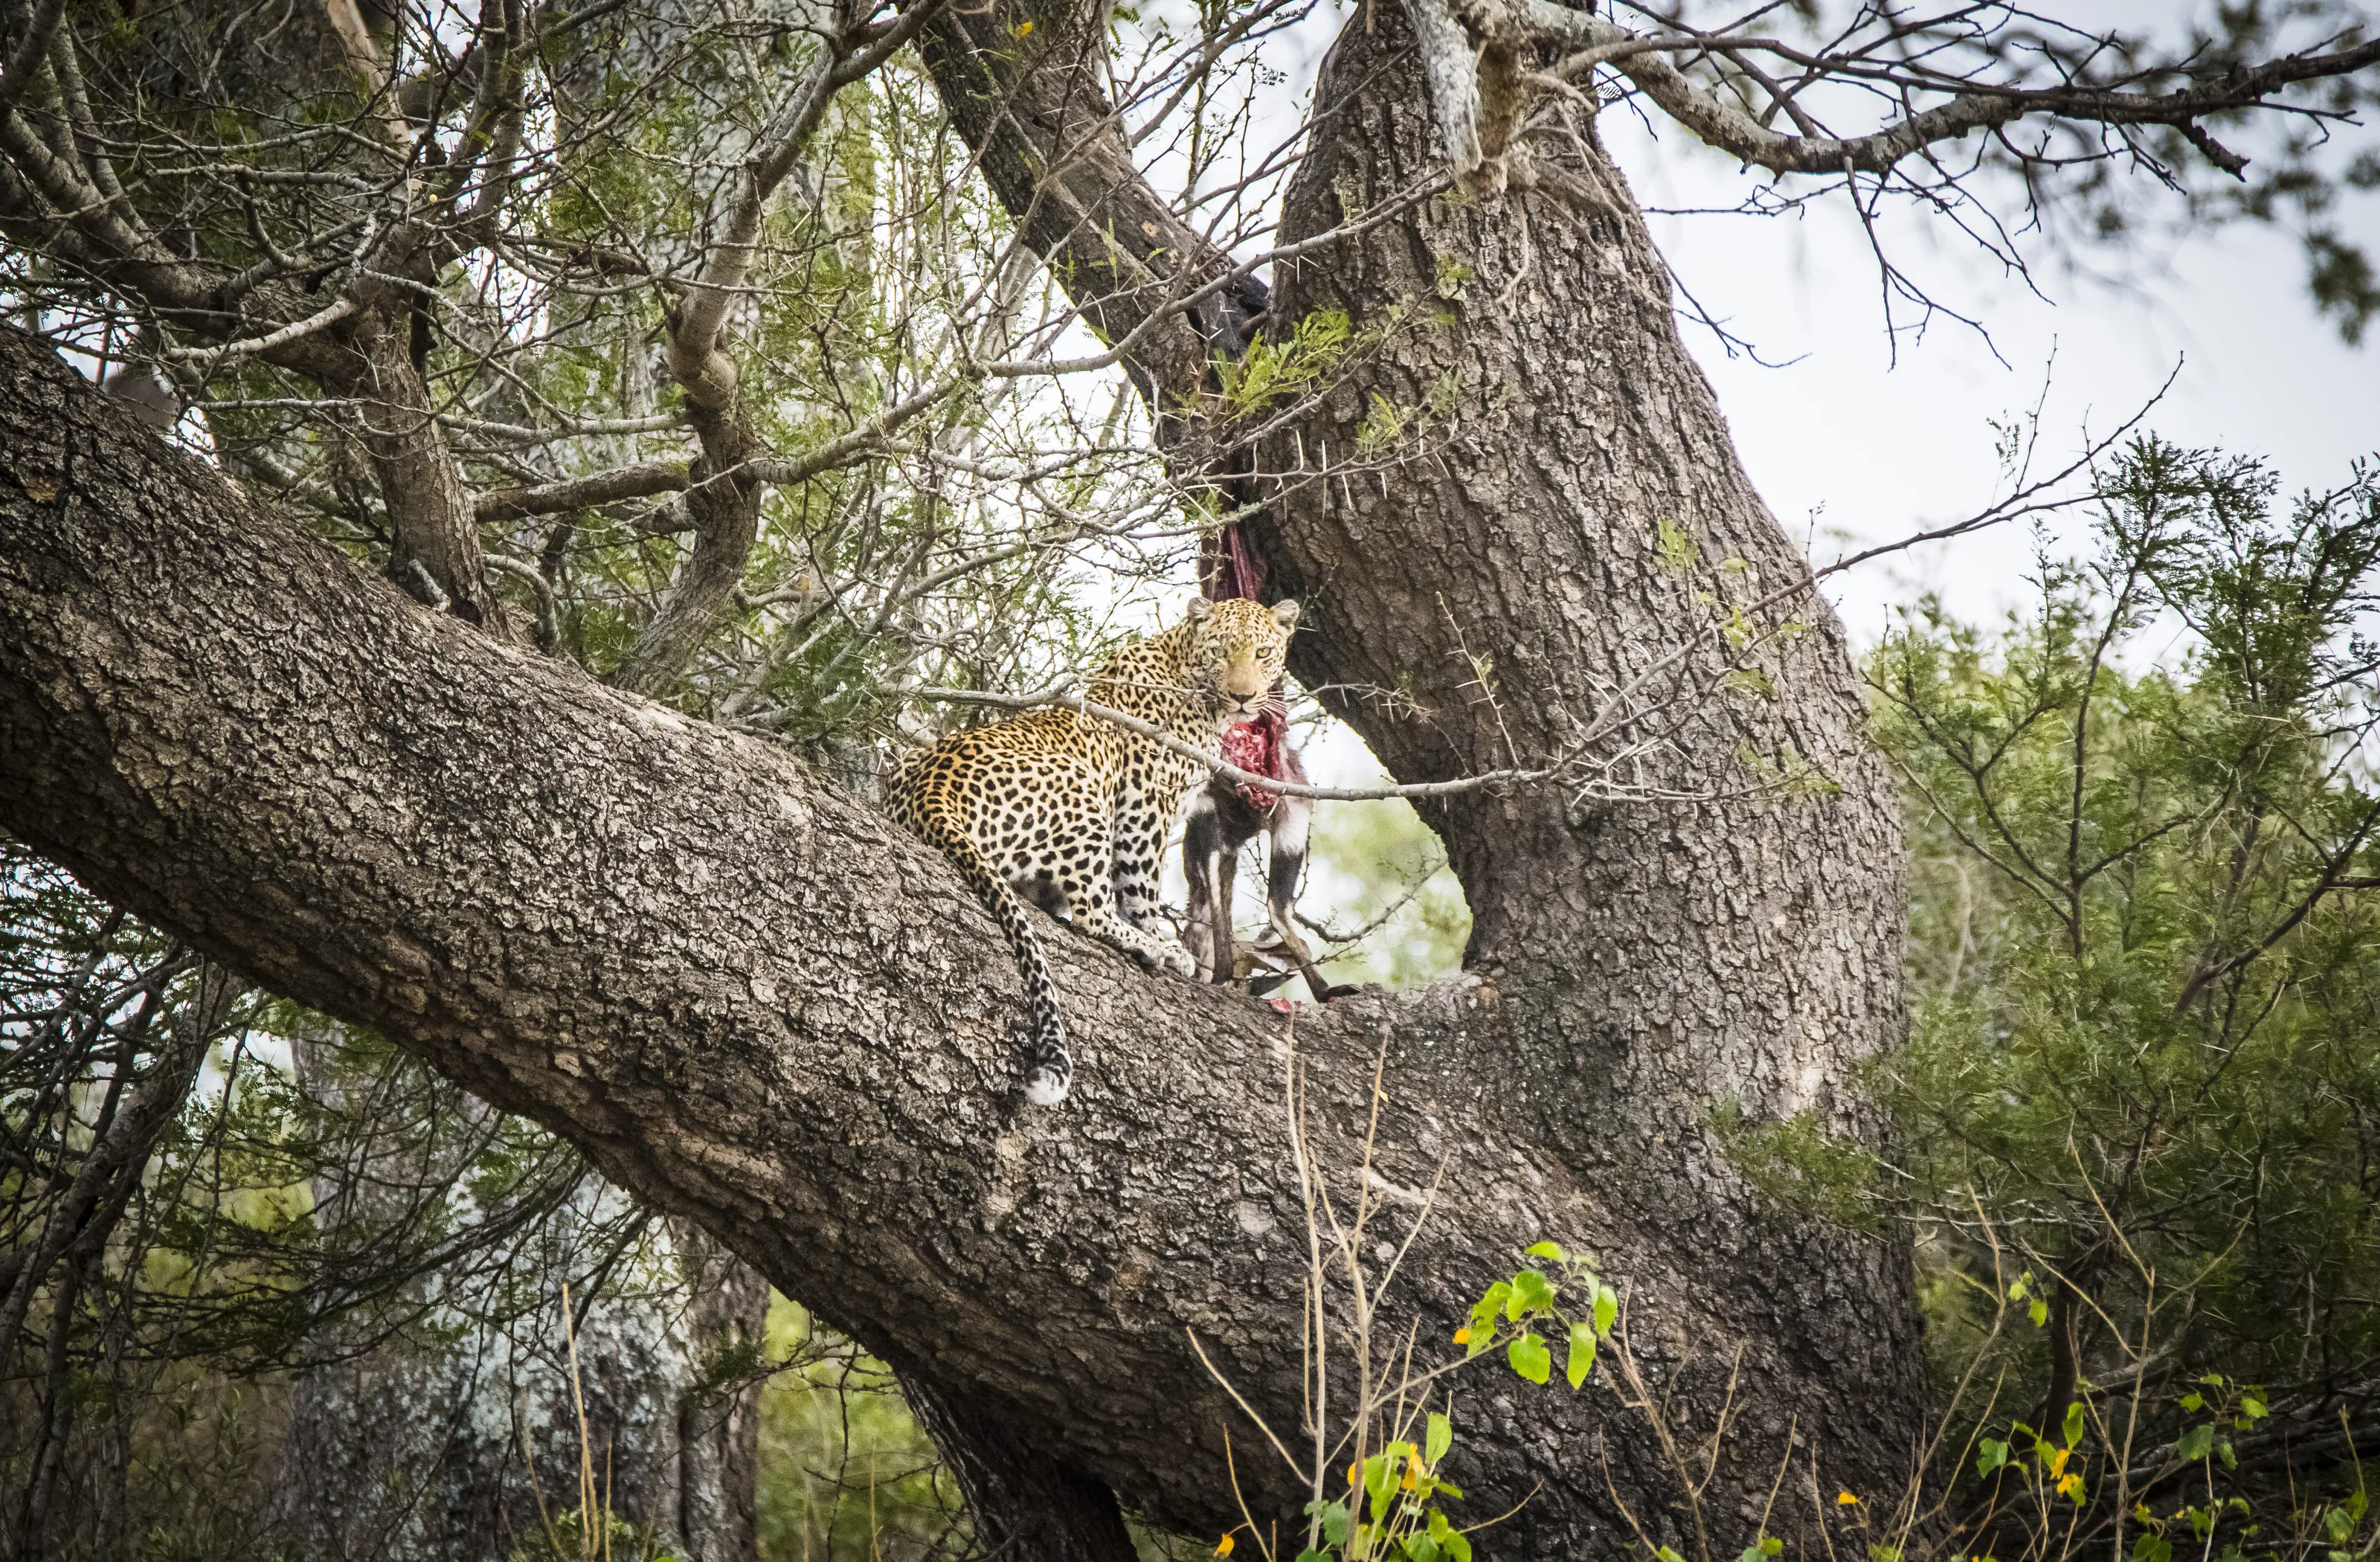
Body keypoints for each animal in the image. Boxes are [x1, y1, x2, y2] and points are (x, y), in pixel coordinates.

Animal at [884, 596, 1302, 1106]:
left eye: (1262, 653)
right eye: (1222, 651)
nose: (1243, 696)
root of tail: (932, 792)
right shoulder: (1145, 802)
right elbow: (1141, 886)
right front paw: (1158, 938)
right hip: (1082, 786)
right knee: (1091, 911)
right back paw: (1152, 946)